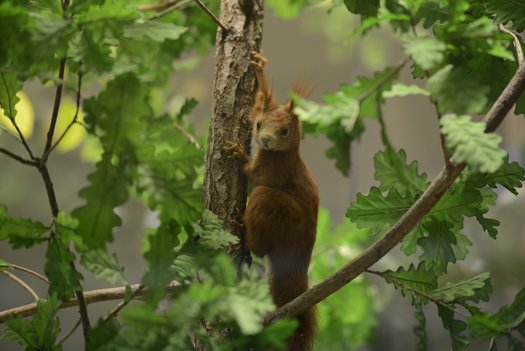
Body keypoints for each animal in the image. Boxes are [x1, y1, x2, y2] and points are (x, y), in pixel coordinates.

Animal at [224, 52, 318, 351]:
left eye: (285, 131)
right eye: (258, 124)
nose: (264, 140)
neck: (281, 153)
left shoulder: (275, 170)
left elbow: (254, 174)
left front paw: (238, 153)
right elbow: (259, 102)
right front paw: (259, 69)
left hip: (271, 202)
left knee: (259, 247)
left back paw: (242, 226)